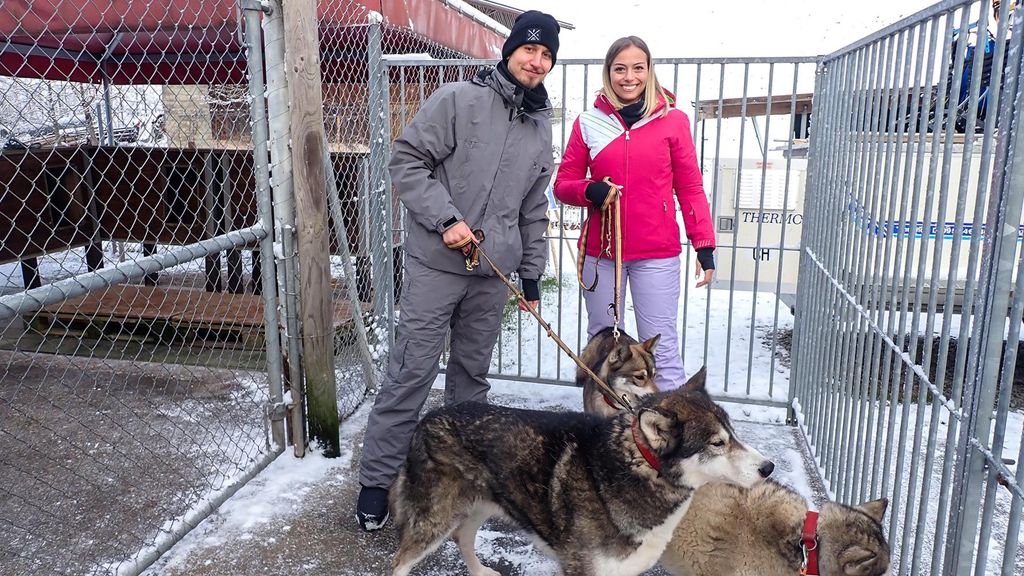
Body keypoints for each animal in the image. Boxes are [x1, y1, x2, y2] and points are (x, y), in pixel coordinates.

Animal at [390, 367, 775, 576]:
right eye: (717, 443)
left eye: (733, 433)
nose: (768, 467)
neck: (635, 466)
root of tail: (427, 418)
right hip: (434, 519)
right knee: (401, 561)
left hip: (479, 506)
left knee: (462, 537)